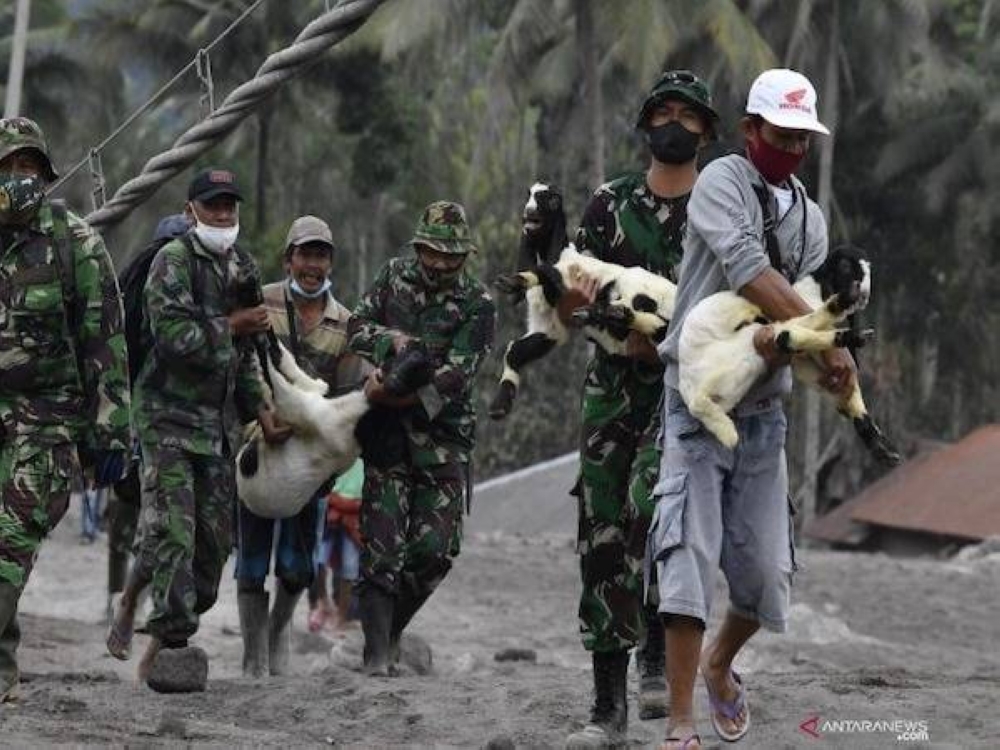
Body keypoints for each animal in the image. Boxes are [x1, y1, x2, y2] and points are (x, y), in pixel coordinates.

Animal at [239, 338, 434, 520]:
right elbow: (306, 379)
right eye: (405, 351)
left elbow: (278, 387)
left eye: (419, 371)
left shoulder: (315, 415)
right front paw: (271, 347)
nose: (419, 345)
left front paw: (260, 350)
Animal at [488, 180, 676, 420]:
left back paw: (606, 312)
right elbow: (515, 352)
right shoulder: (549, 328)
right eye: (529, 194)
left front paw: (512, 283)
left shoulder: (563, 279)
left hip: (639, 292)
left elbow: (544, 273)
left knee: (646, 314)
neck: (557, 254)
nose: (528, 212)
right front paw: (499, 406)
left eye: (546, 198)